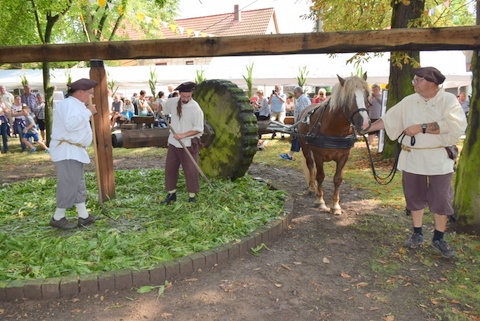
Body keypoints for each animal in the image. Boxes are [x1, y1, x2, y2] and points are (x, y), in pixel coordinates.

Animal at [296, 72, 372, 212]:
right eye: (348, 97)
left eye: (367, 94)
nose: (365, 124)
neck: (334, 128)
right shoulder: (318, 155)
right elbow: (320, 176)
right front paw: (320, 201)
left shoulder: (344, 156)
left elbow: (337, 179)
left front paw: (335, 205)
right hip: (305, 148)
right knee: (310, 165)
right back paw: (312, 187)